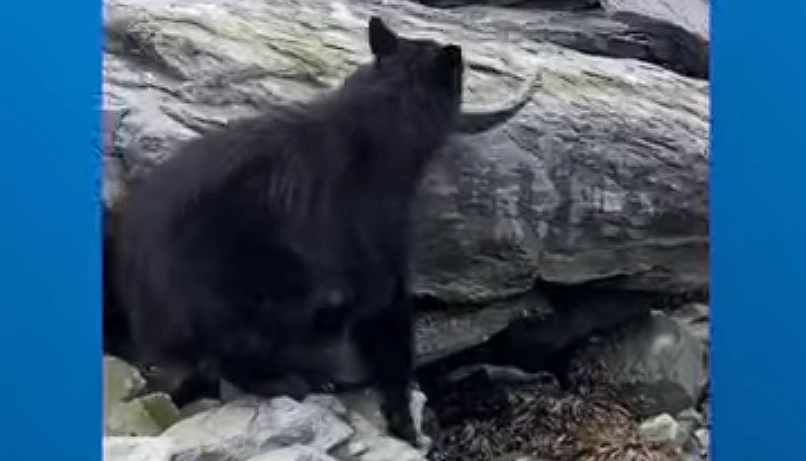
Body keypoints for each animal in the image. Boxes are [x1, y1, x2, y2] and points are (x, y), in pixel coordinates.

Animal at [106, 16, 538, 445]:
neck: (382, 113)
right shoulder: (376, 232)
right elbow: (390, 314)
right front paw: (404, 420)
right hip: (255, 274)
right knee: (235, 348)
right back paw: (290, 380)